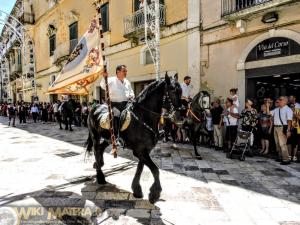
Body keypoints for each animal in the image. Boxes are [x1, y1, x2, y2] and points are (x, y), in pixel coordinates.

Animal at [85, 74, 182, 204]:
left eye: (180, 91)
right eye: (171, 90)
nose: (180, 117)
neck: (144, 118)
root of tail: (95, 107)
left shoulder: (144, 150)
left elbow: (140, 168)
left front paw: (137, 189)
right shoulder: (140, 151)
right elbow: (155, 170)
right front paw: (154, 193)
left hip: (108, 139)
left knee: (100, 149)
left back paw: (98, 165)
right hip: (95, 136)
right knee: (96, 150)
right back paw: (100, 177)